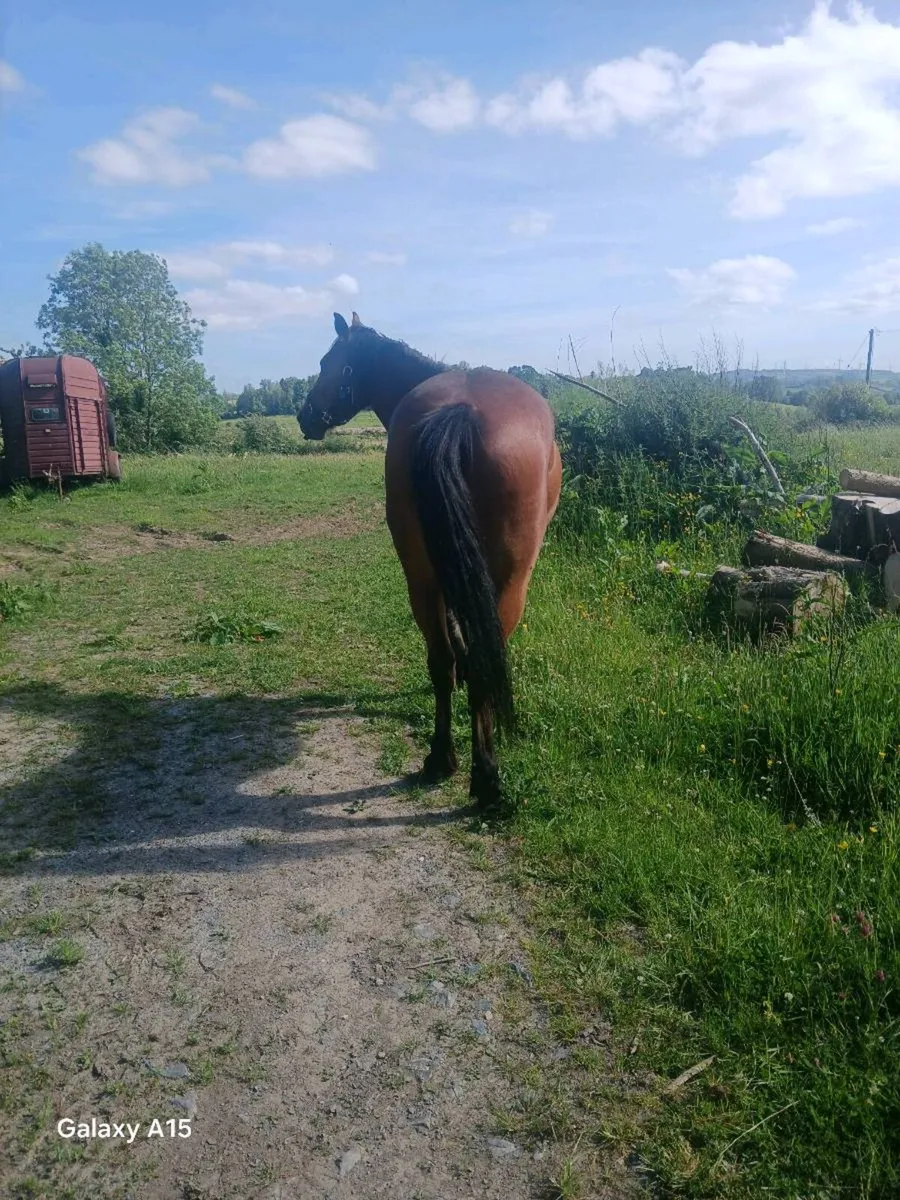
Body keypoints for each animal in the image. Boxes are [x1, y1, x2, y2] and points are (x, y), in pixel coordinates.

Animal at [298, 312, 562, 808]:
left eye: (326, 362)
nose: (304, 417)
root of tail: (460, 412)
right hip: (509, 581)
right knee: (479, 659)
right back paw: (486, 778)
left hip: (420, 574)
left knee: (439, 658)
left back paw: (442, 758)